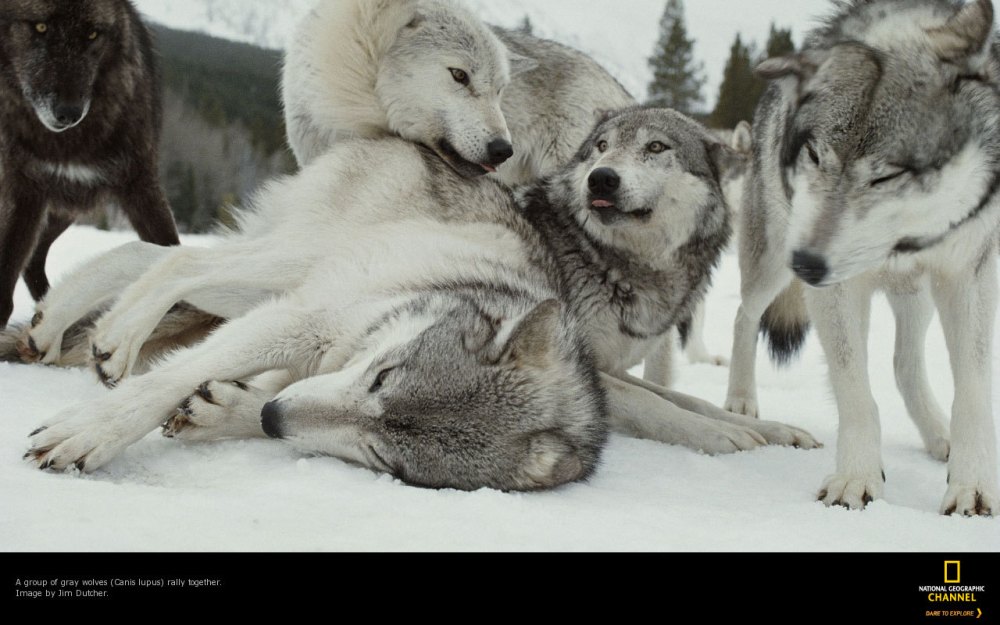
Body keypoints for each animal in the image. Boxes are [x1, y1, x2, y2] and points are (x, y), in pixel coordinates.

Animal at [0, 0, 180, 329]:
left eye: (93, 34)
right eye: (41, 27)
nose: (68, 113)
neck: (70, 143)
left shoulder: (140, 184)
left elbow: (167, 248)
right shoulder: (22, 190)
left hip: (66, 209)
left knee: (34, 259)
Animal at [21, 110, 816, 489]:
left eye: (657, 150)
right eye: (602, 150)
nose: (603, 180)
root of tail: (403, 138)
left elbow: (686, 400)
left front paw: (775, 432)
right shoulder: (302, 319)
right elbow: (668, 411)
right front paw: (90, 434)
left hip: (272, 270)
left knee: (146, 256)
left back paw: (66, 326)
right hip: (286, 270)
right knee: (177, 260)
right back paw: (111, 338)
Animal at [724, 0, 999, 515]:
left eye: (886, 175)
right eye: (815, 155)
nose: (805, 264)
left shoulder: (969, 276)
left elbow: (972, 393)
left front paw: (973, 487)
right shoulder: (834, 290)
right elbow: (855, 390)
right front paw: (857, 480)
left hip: (918, 295)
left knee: (904, 364)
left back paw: (939, 435)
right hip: (768, 267)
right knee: (743, 317)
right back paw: (740, 401)